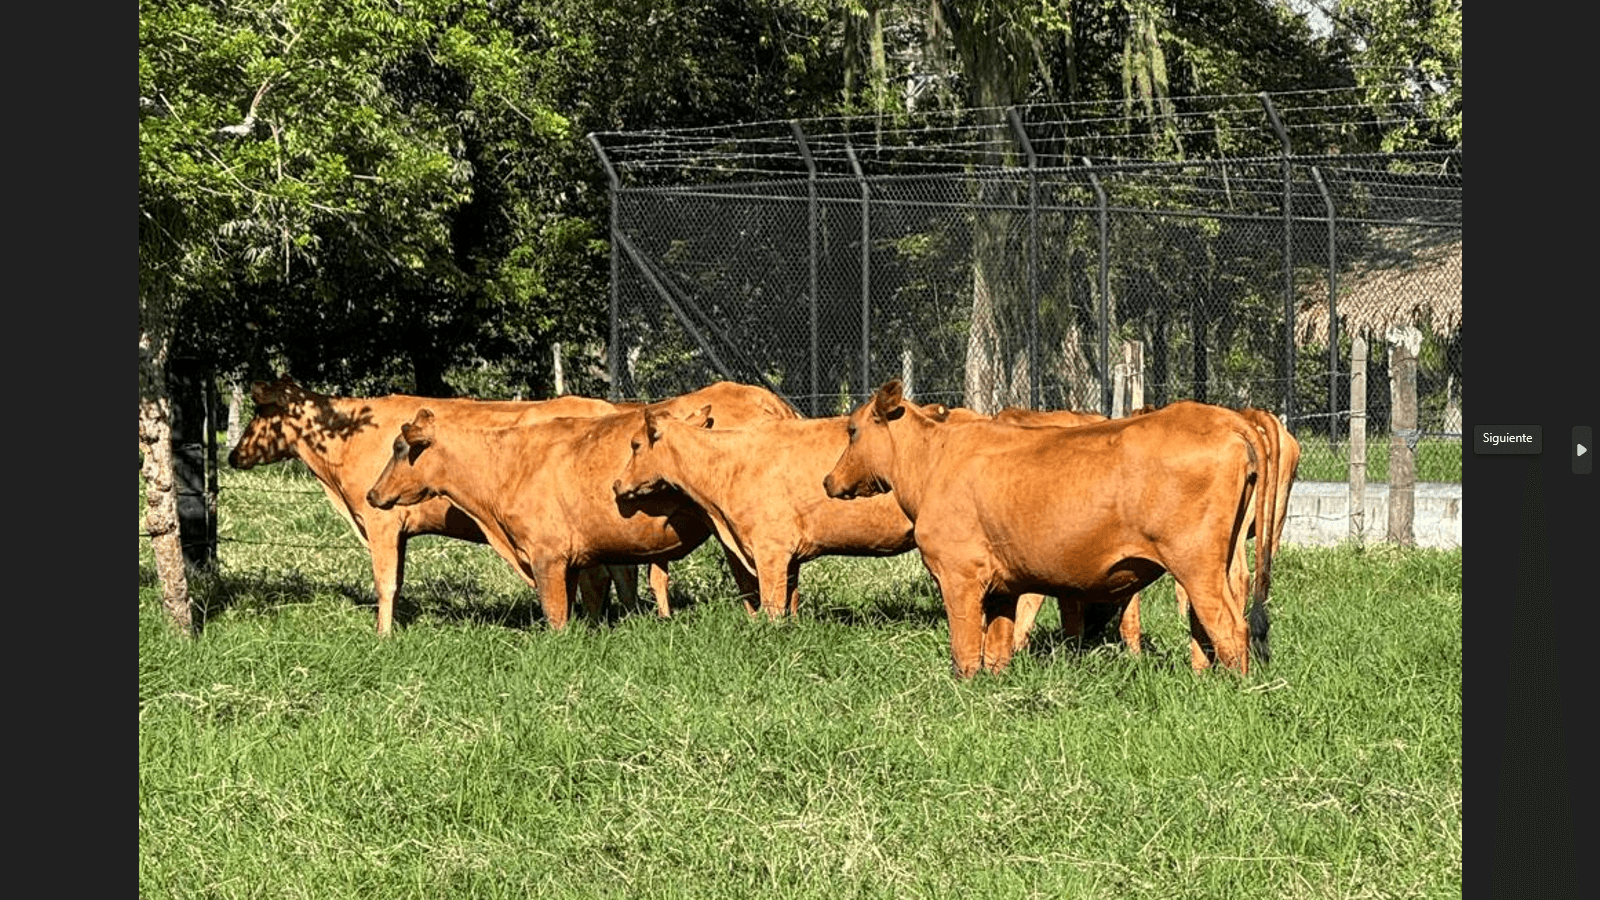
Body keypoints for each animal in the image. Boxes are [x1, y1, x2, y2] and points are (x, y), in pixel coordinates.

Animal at [227, 376, 647, 634]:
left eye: (261, 411)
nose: (233, 455)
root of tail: (609, 408)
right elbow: (396, 581)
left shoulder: (380, 521)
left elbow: (385, 583)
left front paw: (383, 635)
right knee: (620, 573)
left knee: (602, 577)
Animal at [611, 407, 916, 618]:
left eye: (635, 445)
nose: (616, 484)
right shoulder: (790, 557)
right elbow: (791, 602)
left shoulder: (771, 549)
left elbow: (772, 607)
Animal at [823, 379, 1273, 678]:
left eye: (852, 430)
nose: (828, 480)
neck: (934, 460)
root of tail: (1224, 419)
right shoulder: (1003, 586)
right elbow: (998, 648)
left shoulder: (958, 575)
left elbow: (965, 648)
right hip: (1219, 561)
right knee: (1207, 622)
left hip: (1195, 562)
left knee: (1228, 625)